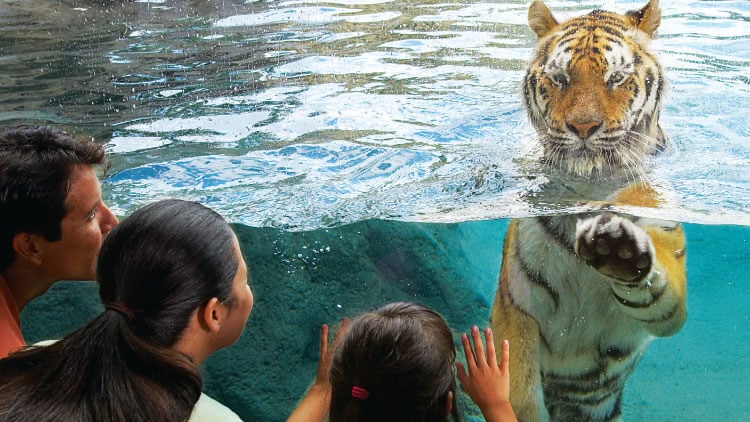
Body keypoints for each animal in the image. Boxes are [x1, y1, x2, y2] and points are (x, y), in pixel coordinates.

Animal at [489, 1, 687, 421]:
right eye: (560, 78)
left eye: (617, 77)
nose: (583, 126)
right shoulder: (515, 309)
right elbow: (519, 395)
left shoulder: (669, 300)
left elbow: (659, 291)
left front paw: (620, 252)